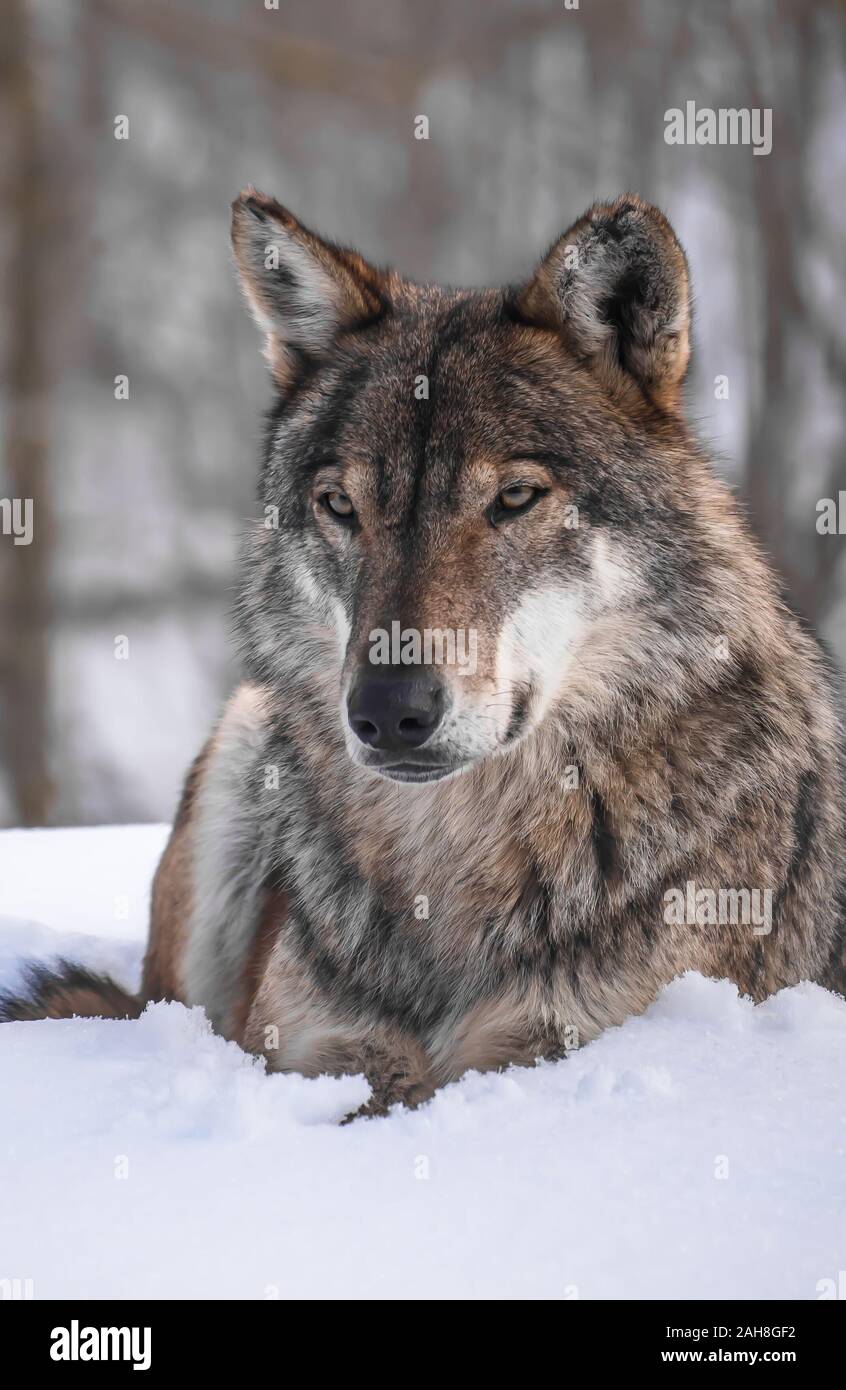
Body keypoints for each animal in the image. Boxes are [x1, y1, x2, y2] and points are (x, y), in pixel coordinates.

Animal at [4, 191, 845, 1115]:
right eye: (341, 506)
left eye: (513, 498)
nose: (385, 712)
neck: (452, 858)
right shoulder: (316, 1046)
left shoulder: (554, 1041)